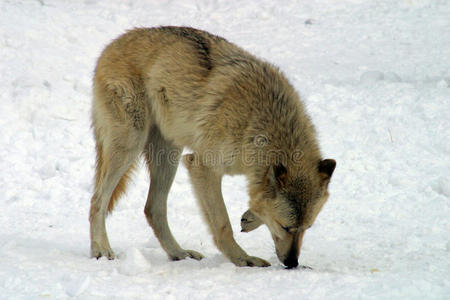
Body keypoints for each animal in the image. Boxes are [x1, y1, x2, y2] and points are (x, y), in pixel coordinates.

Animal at [89, 27, 334, 268]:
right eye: (285, 227)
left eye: (307, 228)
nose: (292, 263)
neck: (257, 123)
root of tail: (110, 46)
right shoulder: (201, 166)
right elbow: (223, 224)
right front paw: (243, 260)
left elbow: (256, 203)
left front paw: (250, 217)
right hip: (131, 144)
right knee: (97, 201)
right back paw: (101, 250)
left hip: (169, 154)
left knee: (153, 209)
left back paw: (179, 254)